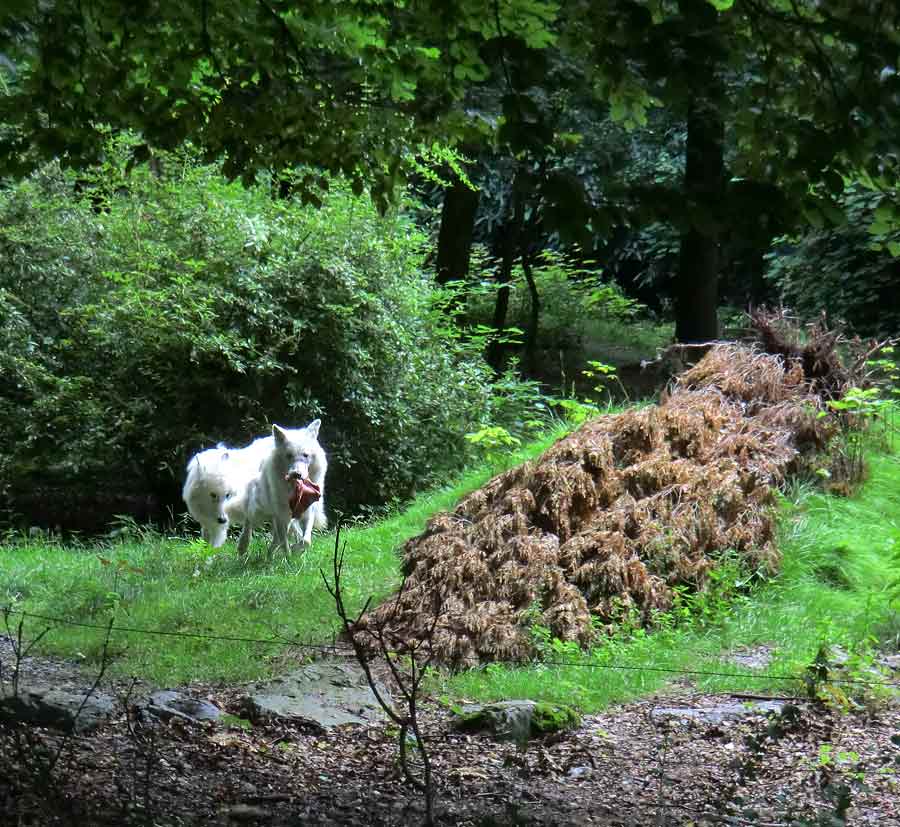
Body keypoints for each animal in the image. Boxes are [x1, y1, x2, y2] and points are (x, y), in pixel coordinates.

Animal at [237, 420, 328, 556]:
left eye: (305, 455)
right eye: (289, 455)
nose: (296, 474)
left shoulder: (307, 511)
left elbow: (306, 540)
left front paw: (296, 550)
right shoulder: (281, 514)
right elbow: (285, 543)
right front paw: (288, 558)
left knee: (282, 536)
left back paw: (271, 554)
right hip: (258, 506)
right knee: (249, 521)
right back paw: (243, 546)